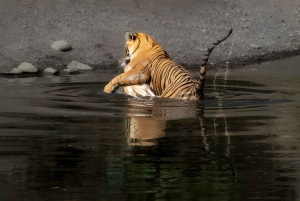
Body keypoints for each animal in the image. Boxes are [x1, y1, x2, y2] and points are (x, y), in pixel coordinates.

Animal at [103, 28, 232, 100]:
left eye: (124, 49)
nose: (124, 59)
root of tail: (195, 88)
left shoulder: (139, 73)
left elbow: (119, 77)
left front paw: (106, 89)